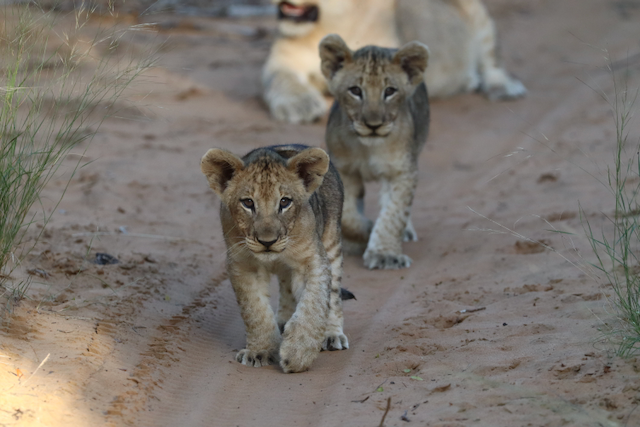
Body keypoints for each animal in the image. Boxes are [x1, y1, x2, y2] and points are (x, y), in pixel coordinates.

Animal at [200, 144, 349, 373]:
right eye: (248, 203)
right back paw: (283, 322)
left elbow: (313, 305)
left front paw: (298, 354)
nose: (267, 241)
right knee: (286, 286)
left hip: (332, 242)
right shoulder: (242, 265)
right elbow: (255, 310)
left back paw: (332, 334)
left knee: (332, 295)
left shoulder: (314, 259)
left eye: (285, 202)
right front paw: (260, 351)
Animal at [321, 34, 429, 269]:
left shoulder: (402, 171)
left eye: (389, 91)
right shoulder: (343, 169)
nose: (373, 125)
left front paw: (385, 254)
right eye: (355, 91)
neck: (368, 148)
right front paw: (363, 232)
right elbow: (348, 215)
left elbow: (394, 213)